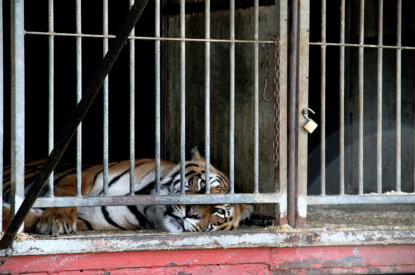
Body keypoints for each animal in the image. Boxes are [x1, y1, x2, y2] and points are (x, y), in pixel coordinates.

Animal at [2, 148, 254, 236]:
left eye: (218, 211)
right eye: (202, 186)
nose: (191, 214)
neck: (148, 206)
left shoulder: (90, 221)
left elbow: (26, 218)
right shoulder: (83, 175)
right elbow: (65, 196)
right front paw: (56, 219)